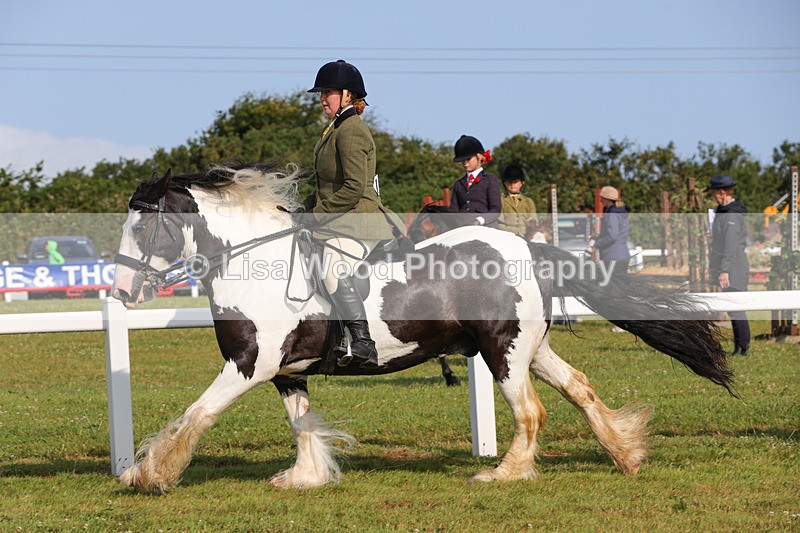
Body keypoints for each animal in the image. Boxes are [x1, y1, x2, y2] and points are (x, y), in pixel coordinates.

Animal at [111, 162, 734, 493]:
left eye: (143, 229)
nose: (120, 292)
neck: (248, 261)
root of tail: (529, 248)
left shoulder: (248, 365)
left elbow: (195, 415)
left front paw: (148, 473)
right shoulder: (285, 371)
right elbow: (302, 425)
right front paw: (306, 477)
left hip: (503, 350)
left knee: (531, 411)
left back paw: (504, 475)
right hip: (527, 347)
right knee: (579, 387)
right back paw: (626, 453)